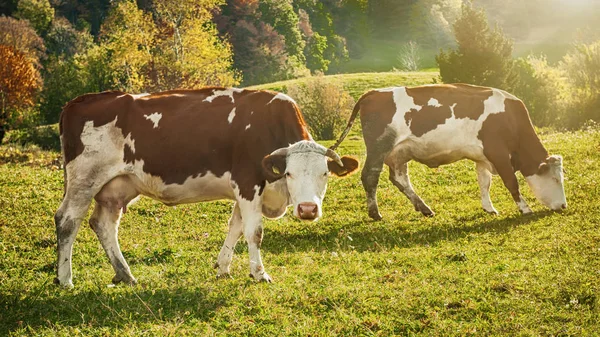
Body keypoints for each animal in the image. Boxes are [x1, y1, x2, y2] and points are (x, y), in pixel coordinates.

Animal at [54, 88, 358, 288]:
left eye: (324, 173)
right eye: (289, 173)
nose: (308, 209)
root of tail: (77, 101)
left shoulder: (244, 191)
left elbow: (235, 228)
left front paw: (223, 268)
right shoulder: (248, 182)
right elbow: (254, 232)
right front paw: (259, 274)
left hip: (116, 188)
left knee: (103, 224)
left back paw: (125, 274)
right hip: (84, 179)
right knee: (67, 221)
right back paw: (65, 279)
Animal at [330, 83, 564, 220]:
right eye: (555, 179)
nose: (563, 206)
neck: (511, 120)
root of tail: (374, 93)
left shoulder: (483, 157)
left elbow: (484, 182)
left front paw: (489, 207)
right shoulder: (498, 153)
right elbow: (511, 183)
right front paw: (524, 208)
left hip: (399, 152)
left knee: (400, 179)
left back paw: (424, 208)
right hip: (379, 148)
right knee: (370, 176)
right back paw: (375, 213)